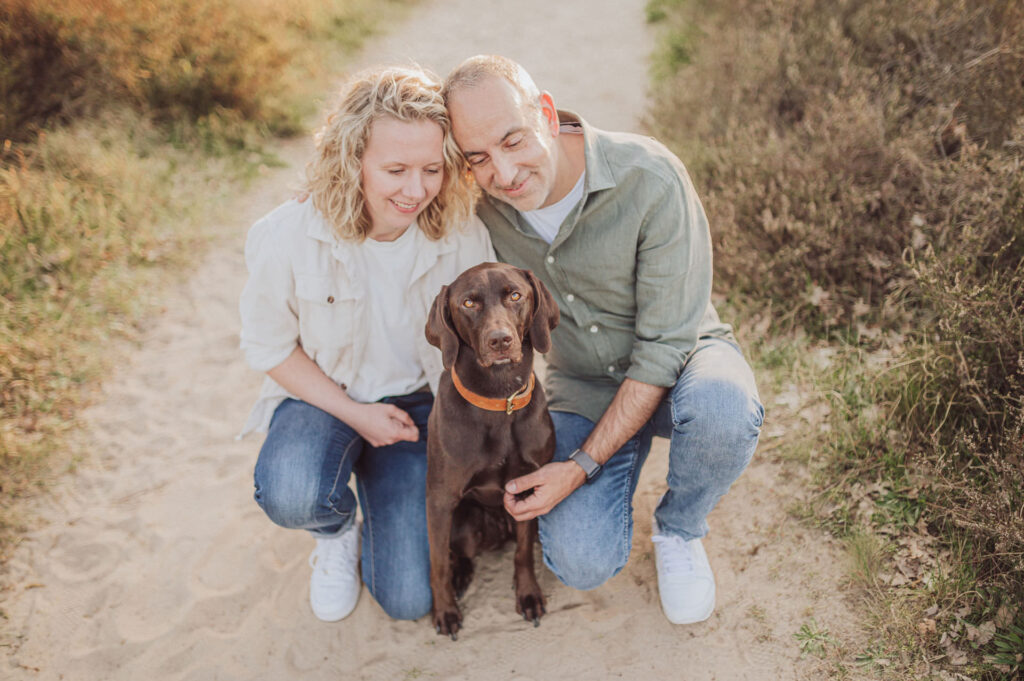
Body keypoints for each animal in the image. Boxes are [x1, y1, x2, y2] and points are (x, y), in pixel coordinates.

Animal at [428, 260, 565, 639]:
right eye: (468, 303)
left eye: (515, 295)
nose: (500, 340)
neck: (499, 398)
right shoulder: (440, 500)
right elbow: (437, 562)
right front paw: (445, 611)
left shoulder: (528, 489)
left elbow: (523, 553)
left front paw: (528, 594)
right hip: (464, 523)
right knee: (456, 552)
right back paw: (461, 574)